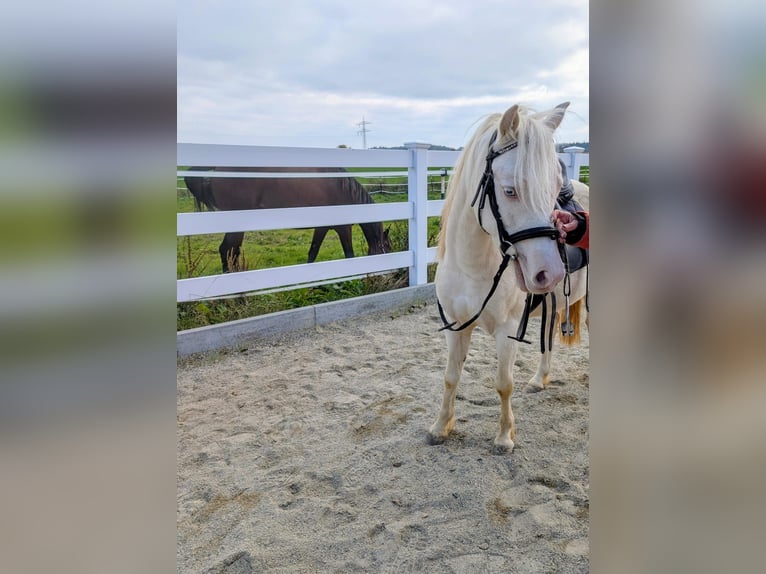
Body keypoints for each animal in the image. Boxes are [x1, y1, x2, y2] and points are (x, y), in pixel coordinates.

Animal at [184, 167, 392, 273]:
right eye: (389, 248)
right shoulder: (343, 228)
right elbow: (349, 254)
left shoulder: (322, 227)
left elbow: (312, 253)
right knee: (228, 250)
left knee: (229, 250)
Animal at [429, 101, 588, 454]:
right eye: (510, 190)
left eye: (554, 188)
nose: (549, 272)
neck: (474, 267)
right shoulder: (456, 326)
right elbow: (449, 377)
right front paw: (440, 426)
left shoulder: (508, 329)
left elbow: (503, 384)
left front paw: (504, 437)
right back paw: (540, 379)